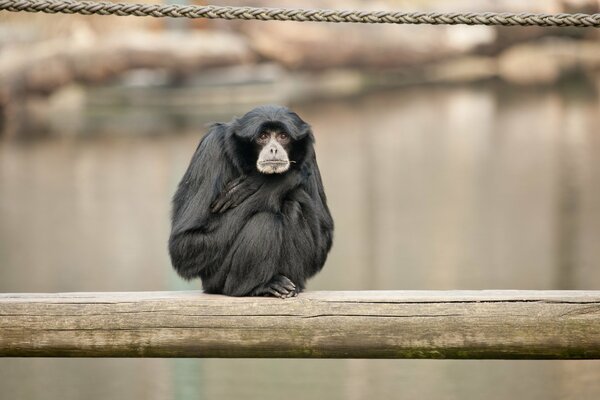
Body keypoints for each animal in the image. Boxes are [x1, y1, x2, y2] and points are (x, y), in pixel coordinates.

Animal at [170, 104, 332, 298]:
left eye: (283, 136)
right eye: (263, 137)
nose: (274, 149)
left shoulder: (310, 155)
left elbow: (323, 239)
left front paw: (262, 182)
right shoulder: (212, 147)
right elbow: (185, 244)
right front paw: (270, 182)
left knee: (295, 204)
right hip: (216, 279)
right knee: (267, 219)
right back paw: (260, 286)